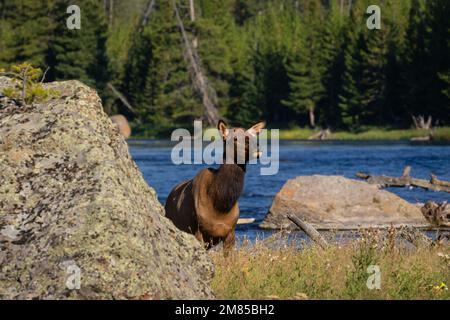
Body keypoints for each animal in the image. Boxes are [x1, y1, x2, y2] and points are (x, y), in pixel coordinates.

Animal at [164, 120, 264, 255]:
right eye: (235, 138)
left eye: (253, 137)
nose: (257, 149)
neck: (220, 205)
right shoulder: (198, 231)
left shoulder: (230, 231)